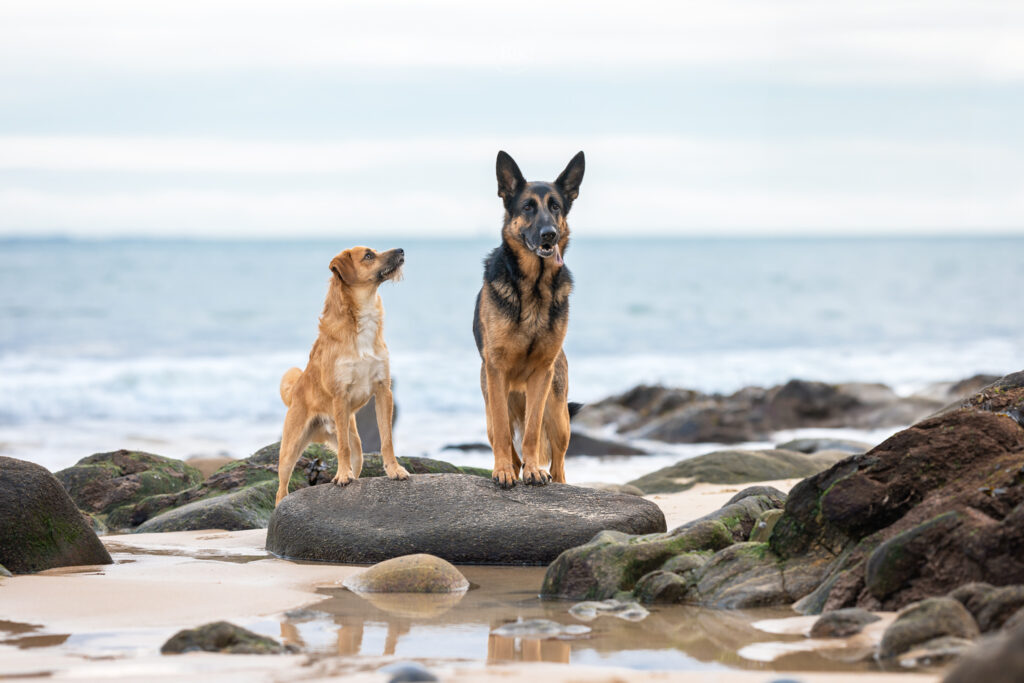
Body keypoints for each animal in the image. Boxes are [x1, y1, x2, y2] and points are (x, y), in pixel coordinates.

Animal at [280, 244, 411, 501]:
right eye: (368, 255)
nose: (401, 249)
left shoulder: (383, 390)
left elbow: (387, 439)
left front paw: (394, 469)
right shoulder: (340, 395)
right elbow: (342, 447)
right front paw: (341, 475)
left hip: (358, 450)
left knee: (353, 456)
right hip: (290, 450)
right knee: (282, 490)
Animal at [471, 152, 585, 489]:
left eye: (555, 206)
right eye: (527, 207)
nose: (550, 234)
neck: (534, 286)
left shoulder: (541, 375)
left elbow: (532, 431)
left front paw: (534, 470)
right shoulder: (496, 373)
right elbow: (503, 433)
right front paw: (504, 470)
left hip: (558, 415)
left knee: (559, 462)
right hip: (493, 401)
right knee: (503, 435)